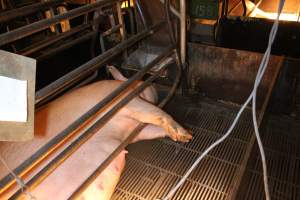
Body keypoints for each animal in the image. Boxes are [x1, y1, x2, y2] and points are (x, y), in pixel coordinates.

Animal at [0, 66, 192, 200]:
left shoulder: (137, 131)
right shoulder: (125, 101)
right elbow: (156, 112)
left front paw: (185, 137)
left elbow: (153, 128)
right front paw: (186, 134)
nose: (152, 85)